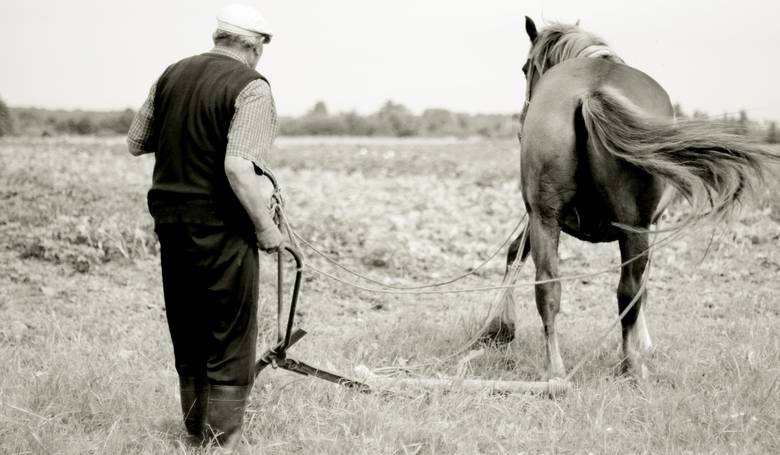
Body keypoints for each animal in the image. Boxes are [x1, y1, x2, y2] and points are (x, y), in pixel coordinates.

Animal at [478, 16, 776, 380]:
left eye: (524, 68)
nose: (520, 126)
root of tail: (590, 92)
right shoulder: (651, 226)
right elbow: (643, 287)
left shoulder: (544, 216)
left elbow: (513, 253)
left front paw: (498, 328)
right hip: (628, 226)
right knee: (626, 292)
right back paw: (630, 366)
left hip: (547, 218)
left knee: (551, 287)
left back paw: (557, 369)